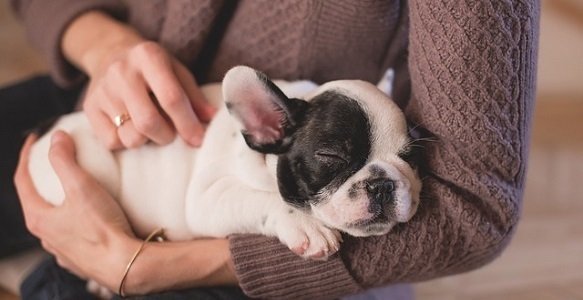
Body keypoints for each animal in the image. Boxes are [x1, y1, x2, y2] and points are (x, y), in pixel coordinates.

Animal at [27, 66, 422, 260]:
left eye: (410, 157)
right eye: (331, 157)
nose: (382, 184)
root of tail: (45, 130)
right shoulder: (208, 198)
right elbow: (263, 199)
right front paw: (307, 226)